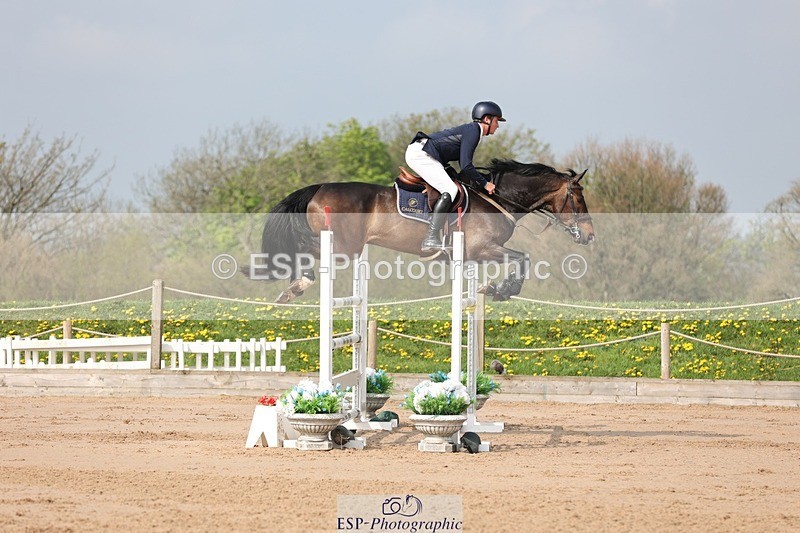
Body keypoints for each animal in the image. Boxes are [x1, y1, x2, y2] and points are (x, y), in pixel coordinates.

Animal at [248, 159, 595, 302]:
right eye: (578, 197)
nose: (590, 235)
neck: (497, 198)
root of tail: (319, 187)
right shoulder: (482, 249)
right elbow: (524, 258)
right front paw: (501, 290)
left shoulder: (476, 255)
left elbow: (521, 259)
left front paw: (494, 289)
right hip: (342, 246)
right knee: (303, 255)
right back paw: (296, 286)